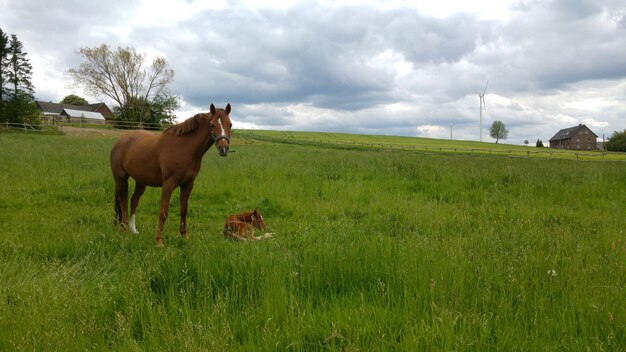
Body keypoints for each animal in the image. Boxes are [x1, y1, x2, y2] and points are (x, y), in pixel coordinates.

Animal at [109, 103, 232, 248]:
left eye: (230, 124)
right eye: (212, 125)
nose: (223, 148)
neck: (183, 148)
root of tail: (120, 141)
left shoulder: (188, 185)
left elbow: (183, 210)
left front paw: (184, 237)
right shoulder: (168, 184)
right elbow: (163, 212)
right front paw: (159, 241)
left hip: (141, 182)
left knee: (134, 201)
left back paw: (133, 230)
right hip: (120, 178)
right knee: (122, 201)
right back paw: (123, 229)